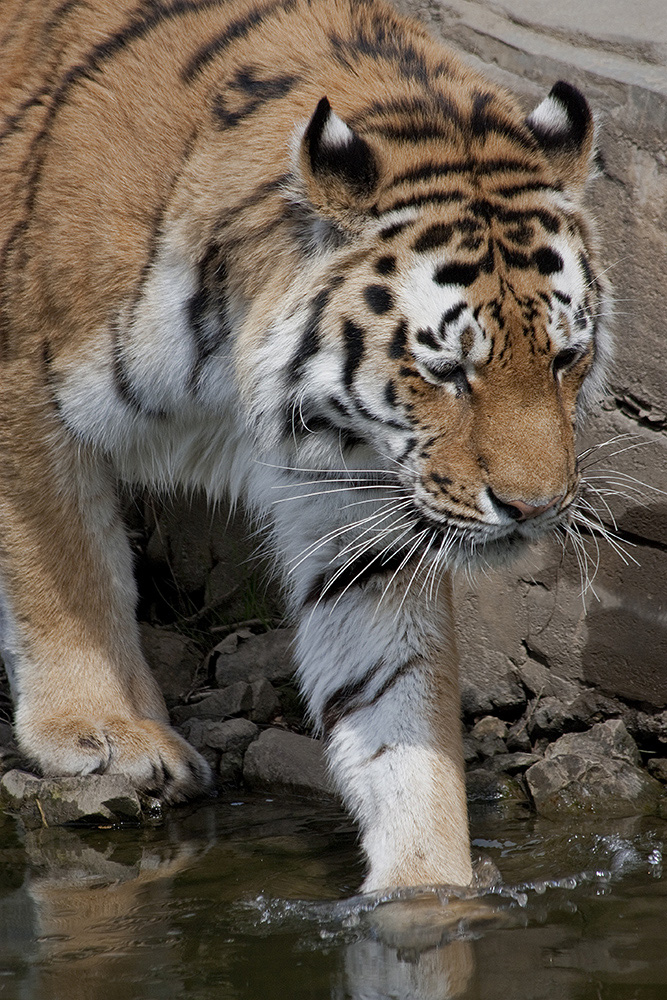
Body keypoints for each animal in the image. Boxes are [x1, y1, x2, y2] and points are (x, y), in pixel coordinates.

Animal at [0, 0, 612, 892]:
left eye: (565, 358)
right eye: (446, 371)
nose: (534, 509)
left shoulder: (355, 493)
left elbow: (392, 699)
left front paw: (428, 887)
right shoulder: (26, 386)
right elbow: (62, 568)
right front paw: (105, 733)